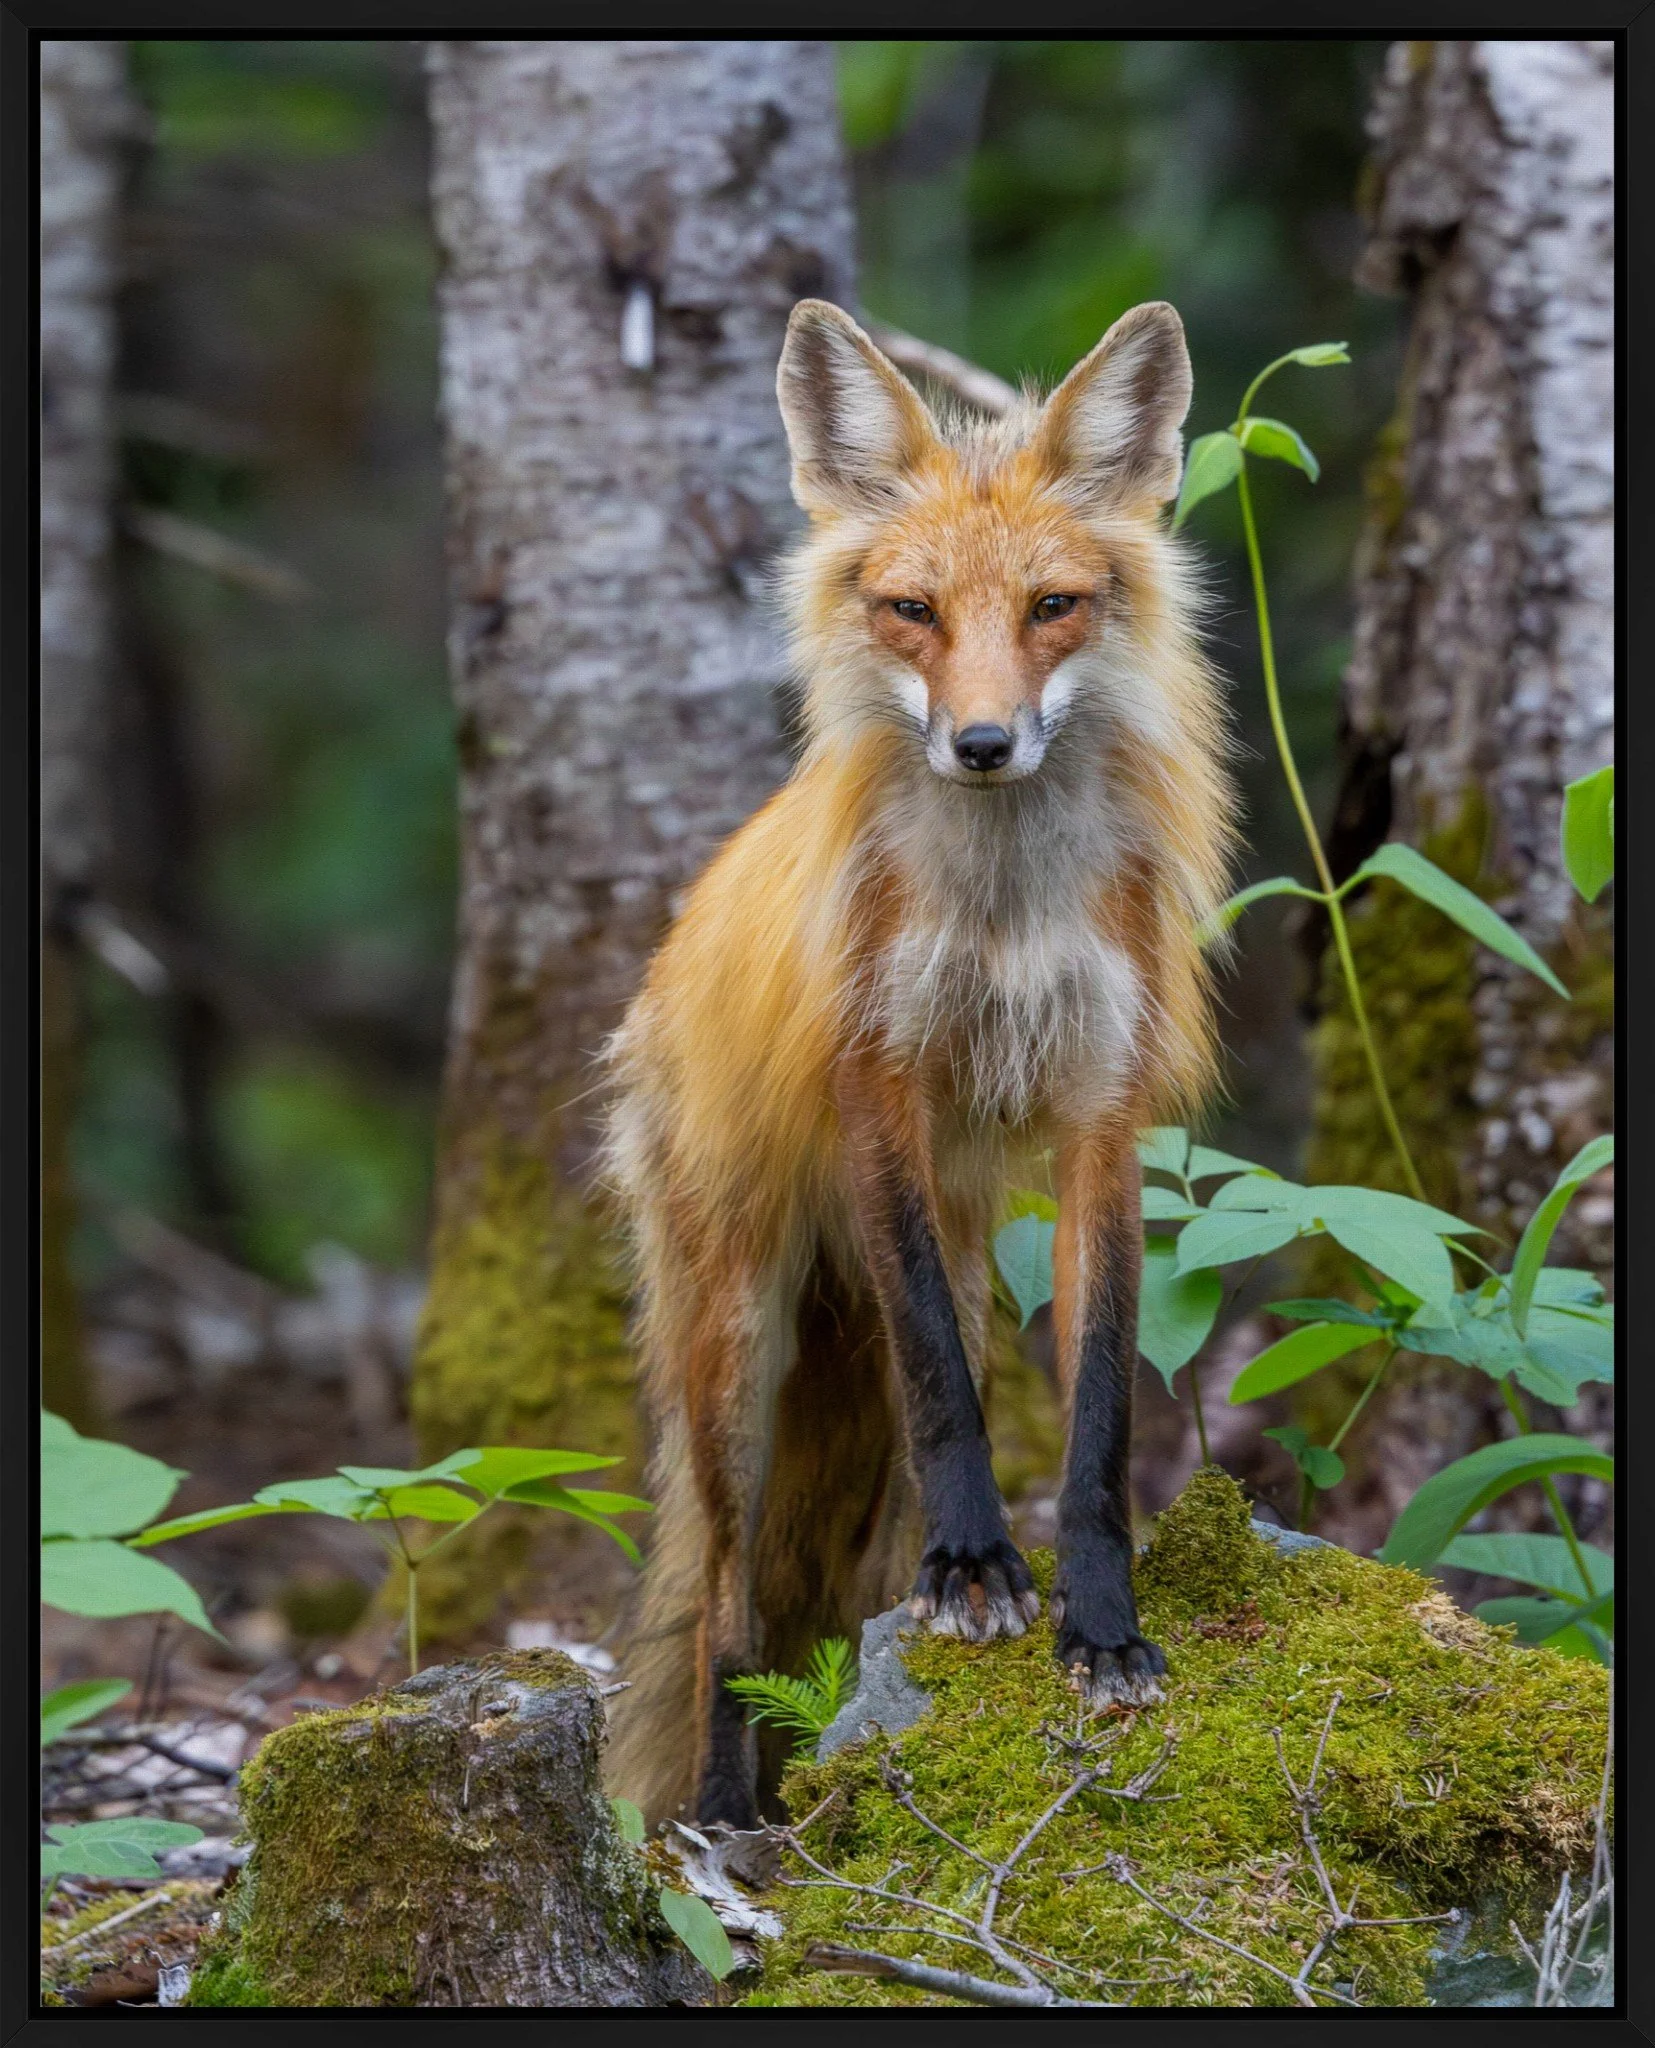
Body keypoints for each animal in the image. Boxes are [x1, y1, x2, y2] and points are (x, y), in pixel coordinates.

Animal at [601, 298, 1236, 1830]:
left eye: (1051, 607)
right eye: (913, 612)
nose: (983, 743)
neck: (1001, 913)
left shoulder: (1098, 1112)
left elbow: (1100, 1416)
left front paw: (1098, 1625)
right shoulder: (876, 1084)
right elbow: (945, 1387)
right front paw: (977, 1572)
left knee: (856, 1559)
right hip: (737, 1353)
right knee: (724, 1609)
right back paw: (727, 1817)